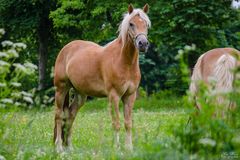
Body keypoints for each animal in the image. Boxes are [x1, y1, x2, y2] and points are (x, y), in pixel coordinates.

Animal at [53, 3, 151, 151]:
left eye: (146, 24)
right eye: (131, 24)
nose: (143, 44)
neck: (124, 62)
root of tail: (66, 49)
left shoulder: (130, 96)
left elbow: (128, 123)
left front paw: (129, 148)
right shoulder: (114, 96)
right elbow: (116, 123)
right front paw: (117, 148)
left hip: (80, 94)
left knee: (70, 115)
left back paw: (69, 148)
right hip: (61, 89)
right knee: (59, 116)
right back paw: (59, 147)